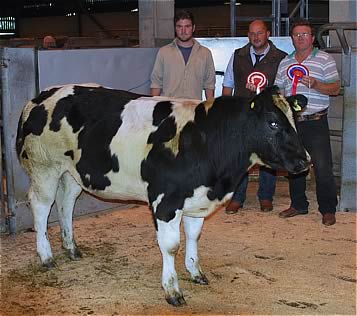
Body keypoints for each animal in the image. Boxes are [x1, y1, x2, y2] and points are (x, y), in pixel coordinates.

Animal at [16, 84, 308, 306]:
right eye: (273, 123)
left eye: (295, 122)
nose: (305, 161)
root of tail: (42, 96)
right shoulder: (166, 201)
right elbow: (171, 246)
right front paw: (172, 290)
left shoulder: (197, 199)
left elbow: (193, 237)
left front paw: (195, 272)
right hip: (44, 167)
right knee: (41, 206)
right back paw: (46, 256)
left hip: (72, 172)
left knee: (65, 204)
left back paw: (72, 248)